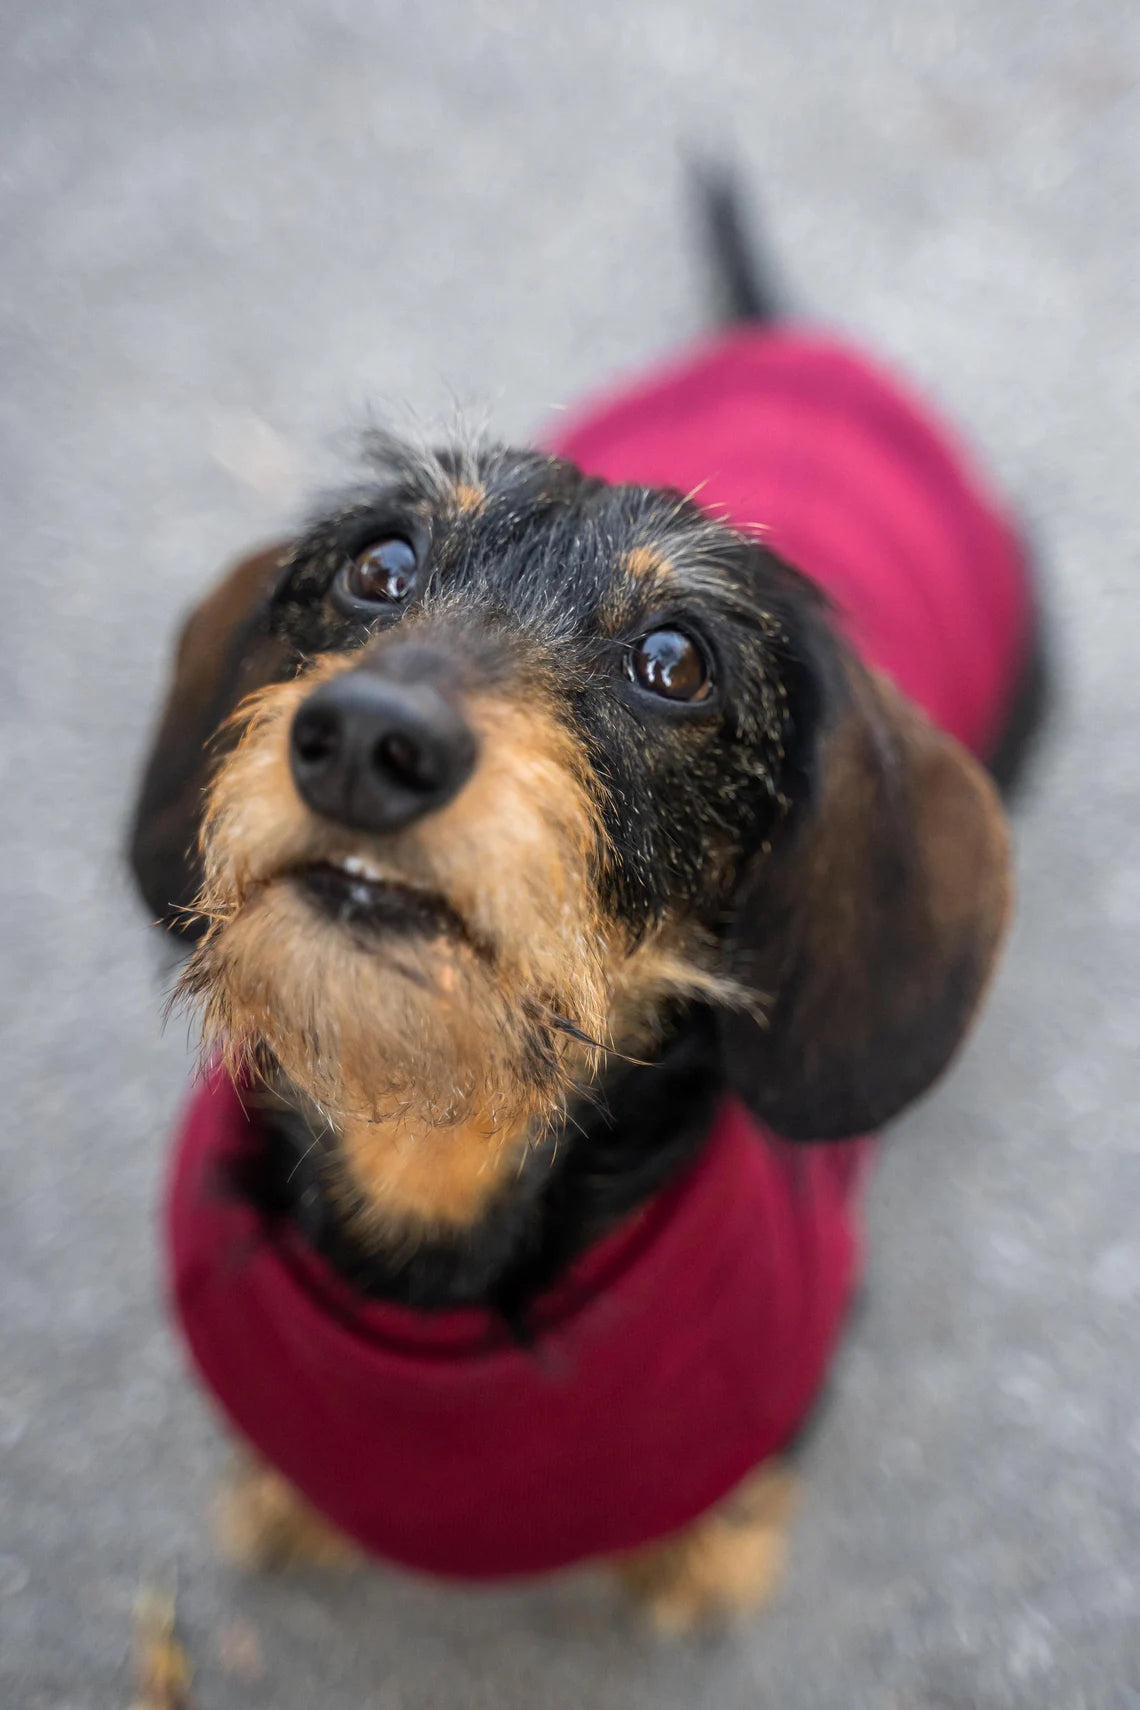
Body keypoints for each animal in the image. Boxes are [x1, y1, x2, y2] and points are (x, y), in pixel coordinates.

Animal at [129, 183, 1039, 1627]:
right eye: (380, 564)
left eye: (675, 660)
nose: (366, 740)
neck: (435, 1161)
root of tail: (802, 346)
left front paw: (700, 1560)